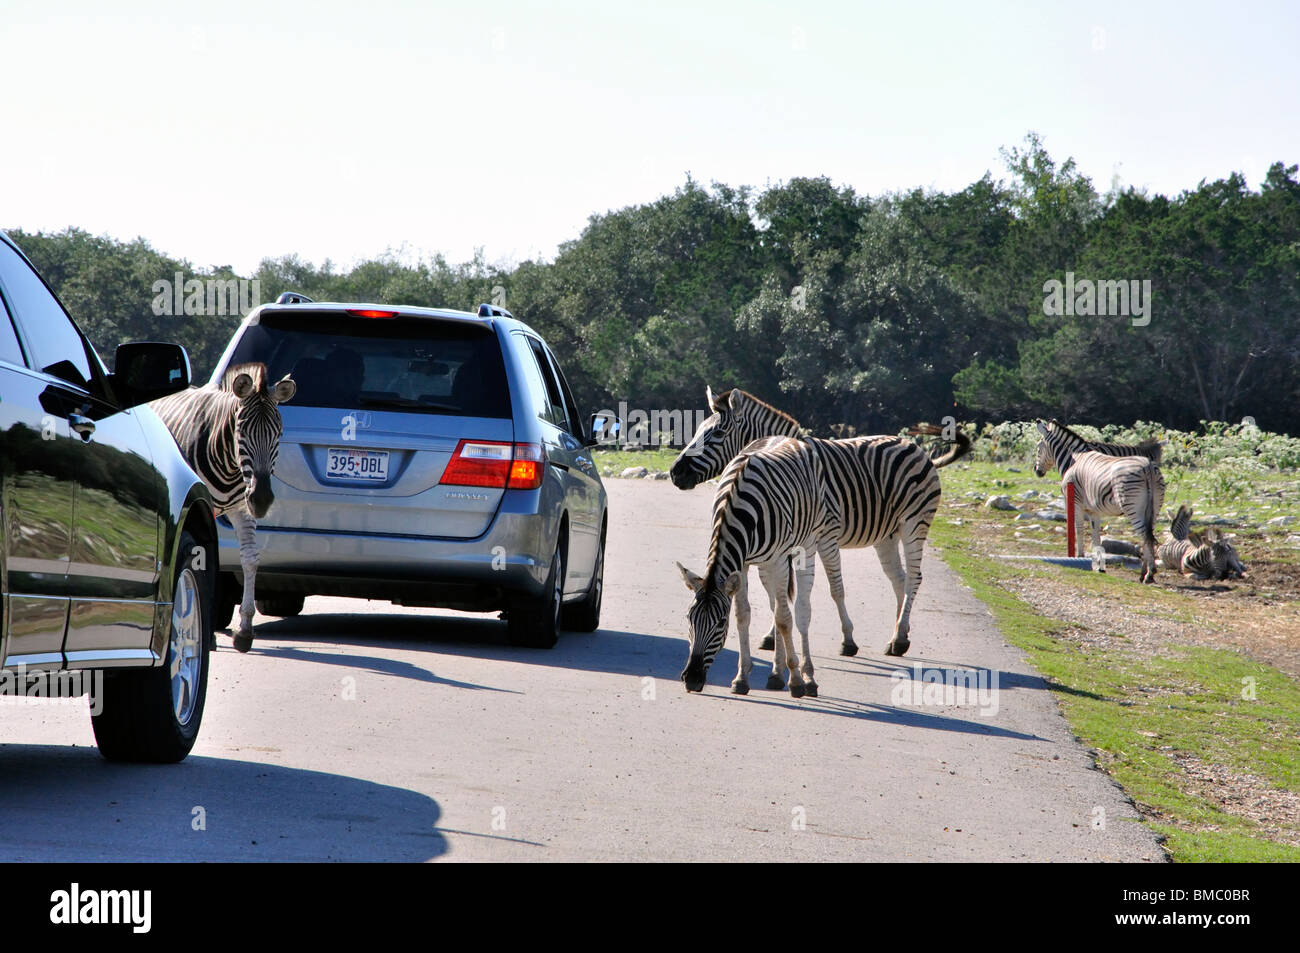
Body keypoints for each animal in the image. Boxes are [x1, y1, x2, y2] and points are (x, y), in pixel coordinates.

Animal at [150, 361, 296, 650]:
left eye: (279, 434)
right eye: (241, 432)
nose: (262, 499)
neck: (229, 464)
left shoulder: (242, 508)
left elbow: (250, 558)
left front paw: (245, 630)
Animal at [670, 382, 967, 657]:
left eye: (717, 433)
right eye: (697, 431)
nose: (674, 473)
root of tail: (915, 448)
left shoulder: (822, 537)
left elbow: (832, 589)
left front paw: (847, 640)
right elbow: (776, 591)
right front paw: (772, 637)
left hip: (915, 522)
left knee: (914, 577)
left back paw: (900, 639)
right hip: (887, 535)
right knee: (899, 579)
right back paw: (897, 635)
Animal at [676, 434, 826, 696]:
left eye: (720, 623)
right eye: (688, 617)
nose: (692, 680)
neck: (735, 508)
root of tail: (787, 437)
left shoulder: (778, 560)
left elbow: (784, 619)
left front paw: (796, 681)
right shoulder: (742, 563)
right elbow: (743, 615)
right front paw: (741, 679)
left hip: (806, 544)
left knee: (799, 609)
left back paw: (808, 677)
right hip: (766, 567)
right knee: (775, 604)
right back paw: (776, 674)